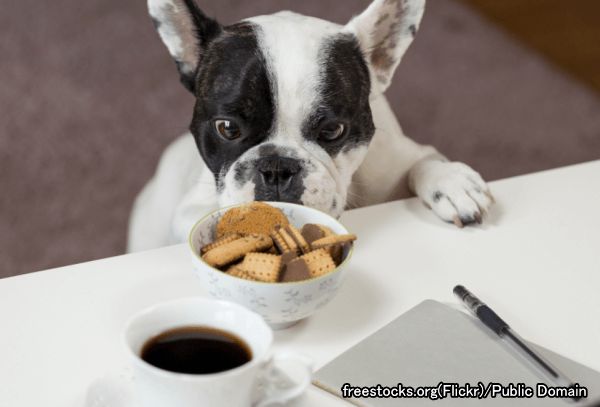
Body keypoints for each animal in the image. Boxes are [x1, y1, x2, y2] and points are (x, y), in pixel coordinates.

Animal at [126, 0, 492, 252]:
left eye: (332, 131)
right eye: (227, 128)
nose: (276, 167)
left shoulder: (398, 159)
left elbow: (424, 161)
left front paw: (452, 182)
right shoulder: (189, 210)